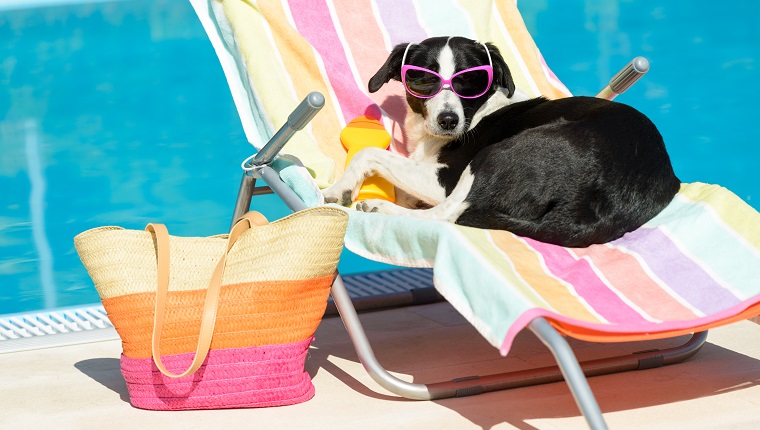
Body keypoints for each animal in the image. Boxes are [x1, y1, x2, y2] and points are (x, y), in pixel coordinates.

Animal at [324, 37, 680, 249]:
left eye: (471, 80)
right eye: (423, 79)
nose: (448, 121)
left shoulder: (445, 180)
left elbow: (369, 153)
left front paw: (340, 188)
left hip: (495, 155)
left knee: (449, 214)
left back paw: (380, 207)